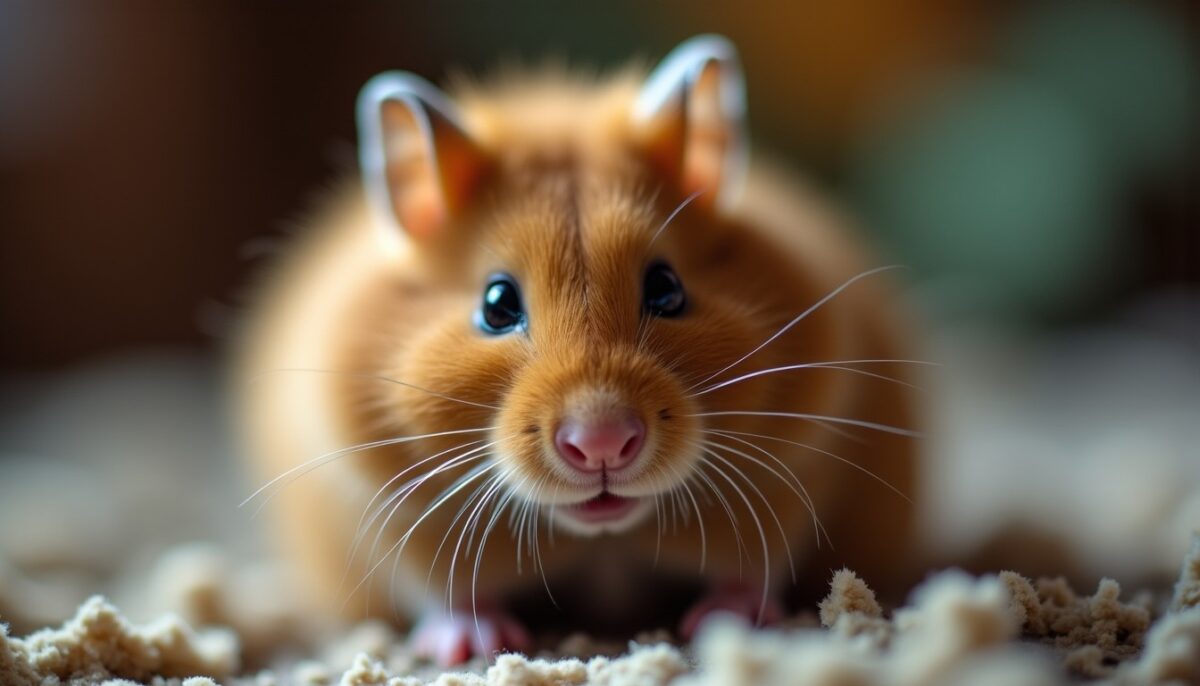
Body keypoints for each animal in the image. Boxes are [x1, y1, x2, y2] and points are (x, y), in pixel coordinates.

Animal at [237, 35, 919, 665]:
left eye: (667, 289)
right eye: (496, 304)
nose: (602, 445)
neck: (605, 538)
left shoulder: (790, 469)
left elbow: (754, 567)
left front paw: (728, 622)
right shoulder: (395, 507)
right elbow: (446, 590)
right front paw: (476, 646)